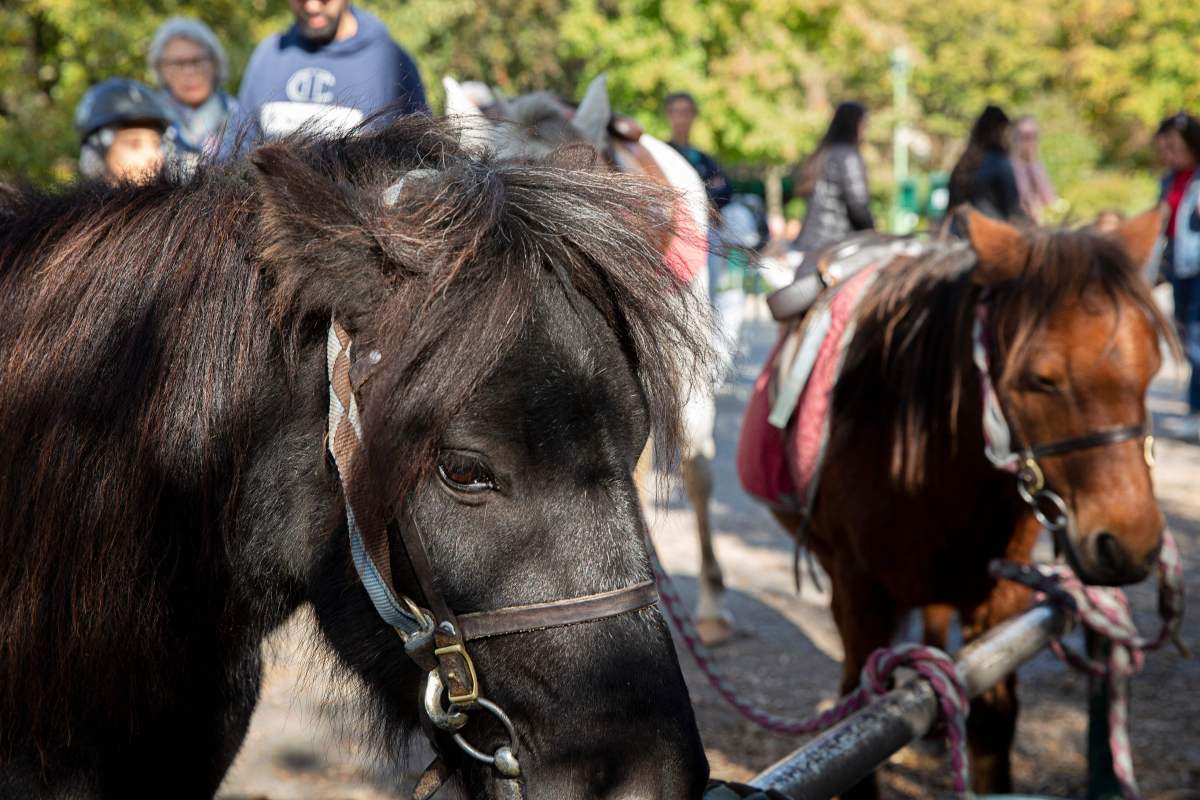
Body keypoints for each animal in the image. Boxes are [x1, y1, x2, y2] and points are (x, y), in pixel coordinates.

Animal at [768, 209, 1171, 796]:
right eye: (1040, 380)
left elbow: (991, 725)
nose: (1130, 545)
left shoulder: (999, 598)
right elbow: (854, 719)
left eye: (1152, 368)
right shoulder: (857, 596)